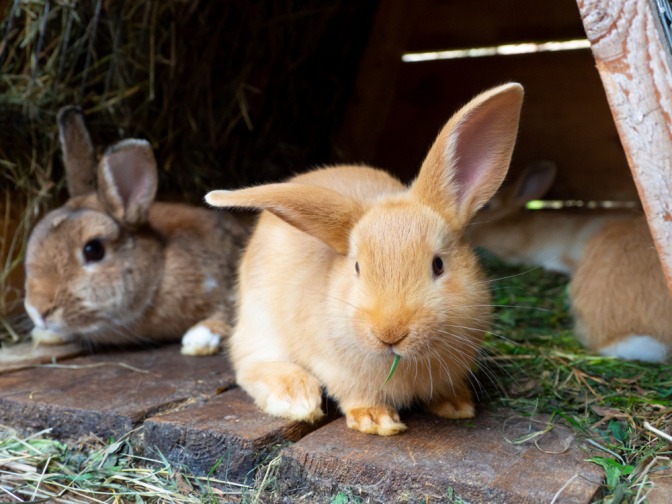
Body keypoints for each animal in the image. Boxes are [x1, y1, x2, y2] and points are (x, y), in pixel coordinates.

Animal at [205, 81, 524, 434]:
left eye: (438, 264)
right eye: (357, 267)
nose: (390, 333)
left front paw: (457, 406)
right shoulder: (337, 371)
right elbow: (356, 396)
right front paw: (377, 421)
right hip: (259, 321)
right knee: (250, 362)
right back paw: (296, 398)